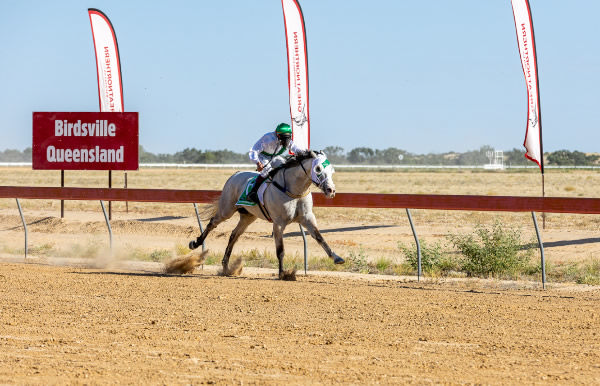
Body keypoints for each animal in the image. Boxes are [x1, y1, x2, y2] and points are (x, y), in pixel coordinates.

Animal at [188, 149, 346, 278]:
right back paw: (196, 243)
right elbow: (280, 249)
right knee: (212, 223)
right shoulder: (278, 223)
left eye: (332, 170)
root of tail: (235, 174)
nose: (331, 190)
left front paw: (337, 258)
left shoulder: (307, 219)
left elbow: (320, 237)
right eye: (318, 168)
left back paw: (226, 266)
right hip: (226, 209)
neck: (293, 190)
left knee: (234, 235)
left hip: (248, 216)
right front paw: (282, 273)